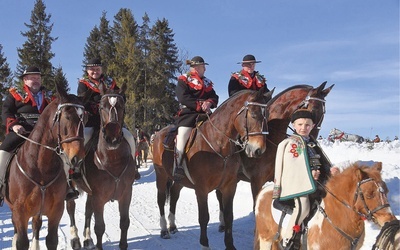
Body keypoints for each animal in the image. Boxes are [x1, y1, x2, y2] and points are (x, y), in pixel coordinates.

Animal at [4, 82, 86, 250]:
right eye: (67, 116)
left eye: (84, 118)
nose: (78, 158)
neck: (40, 167)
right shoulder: (20, 213)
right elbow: (22, 242)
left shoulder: (56, 211)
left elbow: (51, 240)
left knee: (37, 224)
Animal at [66, 82, 137, 250]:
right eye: (101, 107)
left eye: (122, 106)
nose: (112, 137)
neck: (113, 160)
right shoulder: (99, 198)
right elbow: (99, 227)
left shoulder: (126, 195)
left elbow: (124, 223)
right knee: (71, 207)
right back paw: (75, 239)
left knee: (87, 210)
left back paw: (87, 239)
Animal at [152, 89, 272, 249]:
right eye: (253, 114)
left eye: (267, 115)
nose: (258, 150)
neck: (218, 144)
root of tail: (158, 134)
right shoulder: (201, 189)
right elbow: (204, 217)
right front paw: (205, 244)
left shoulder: (229, 187)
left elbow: (229, 216)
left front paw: (230, 245)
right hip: (161, 175)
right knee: (160, 200)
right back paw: (164, 229)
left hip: (179, 180)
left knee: (174, 195)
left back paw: (172, 226)